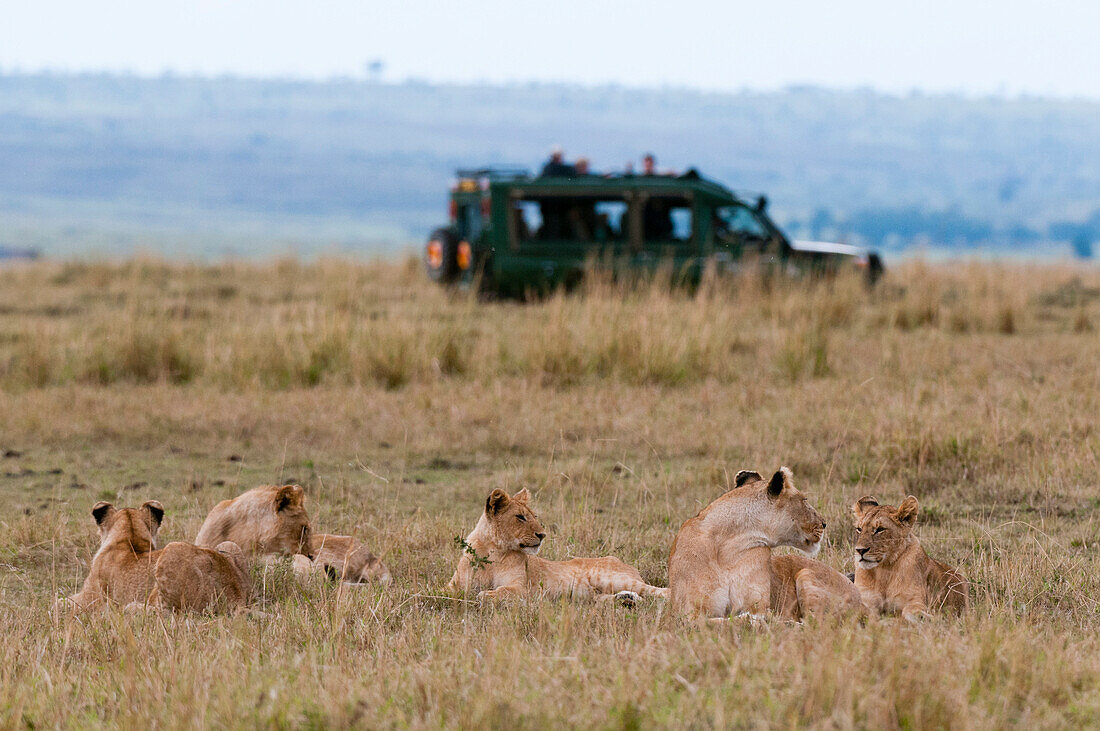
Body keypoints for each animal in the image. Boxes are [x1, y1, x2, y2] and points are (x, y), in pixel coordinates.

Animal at [61, 499, 249, 611]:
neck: (129, 539)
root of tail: (236, 597)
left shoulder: (90, 598)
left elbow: (60, 603)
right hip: (228, 545)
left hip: (172, 550)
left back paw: (132, 608)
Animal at [442, 488, 664, 602]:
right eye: (520, 517)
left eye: (534, 516)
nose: (542, 534)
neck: (493, 550)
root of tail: (623, 562)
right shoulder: (453, 585)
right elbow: (443, 591)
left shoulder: (525, 589)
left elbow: (500, 591)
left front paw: (484, 594)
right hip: (594, 596)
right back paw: (626, 600)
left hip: (612, 578)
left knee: (660, 591)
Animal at [664, 468, 862, 619]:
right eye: (804, 500)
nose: (824, 523)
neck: (728, 546)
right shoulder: (689, 612)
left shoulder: (757, 603)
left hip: (806, 574)